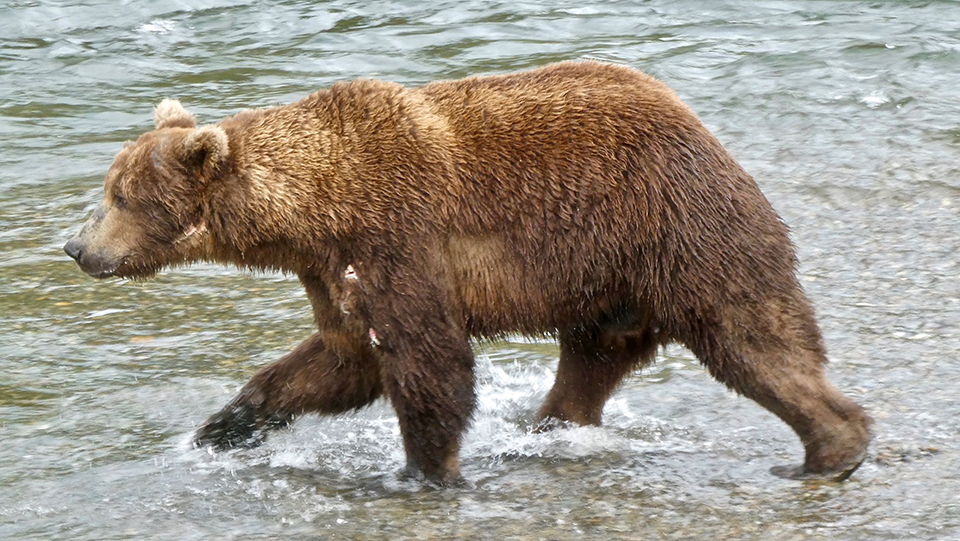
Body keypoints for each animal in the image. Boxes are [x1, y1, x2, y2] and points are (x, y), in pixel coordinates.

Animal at [64, 60, 871, 484]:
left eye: (118, 195)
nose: (75, 245)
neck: (314, 207)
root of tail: (703, 128)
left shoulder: (399, 234)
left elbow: (428, 358)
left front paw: (423, 470)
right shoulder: (333, 270)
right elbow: (340, 357)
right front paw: (223, 427)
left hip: (679, 230)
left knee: (753, 337)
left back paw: (830, 448)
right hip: (604, 285)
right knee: (591, 363)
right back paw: (545, 426)